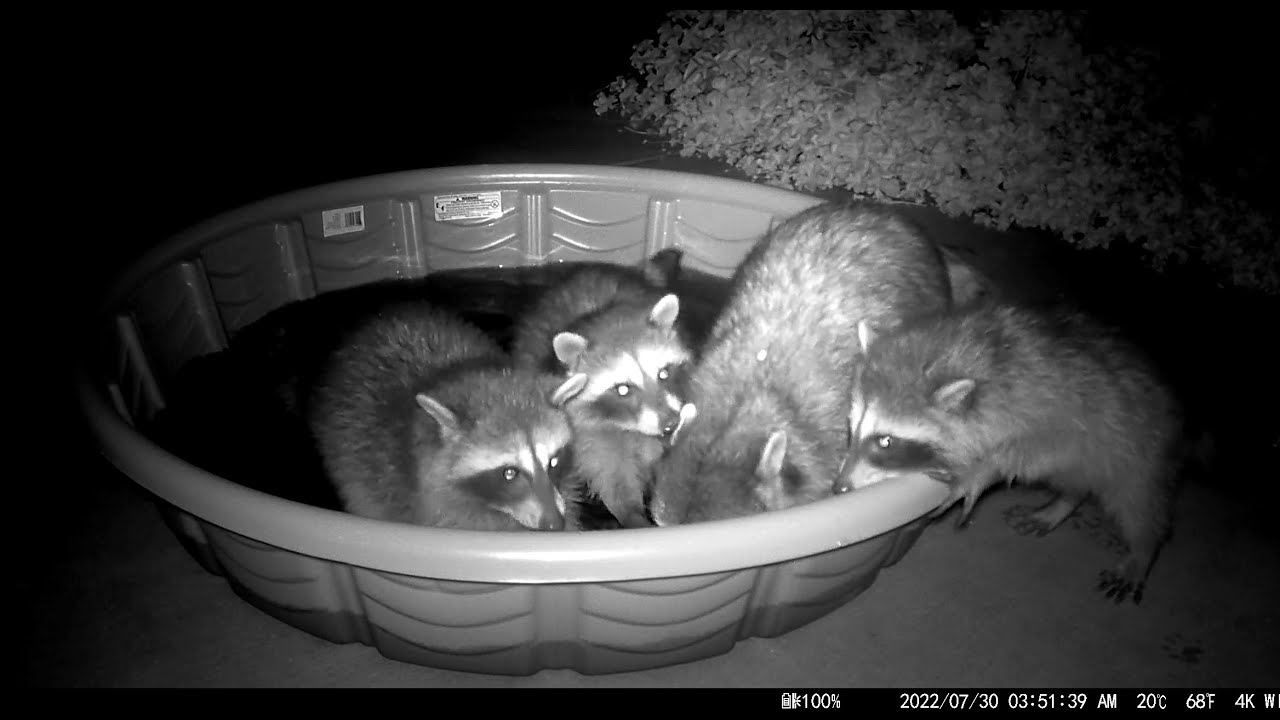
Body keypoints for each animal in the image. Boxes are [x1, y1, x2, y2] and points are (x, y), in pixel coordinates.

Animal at [834, 301, 1188, 604]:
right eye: (851, 428)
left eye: (885, 441)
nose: (839, 488)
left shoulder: (1058, 413)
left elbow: (1026, 451)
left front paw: (979, 472)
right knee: (1076, 482)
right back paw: (1065, 502)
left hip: (1140, 447)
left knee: (1138, 502)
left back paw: (1143, 550)